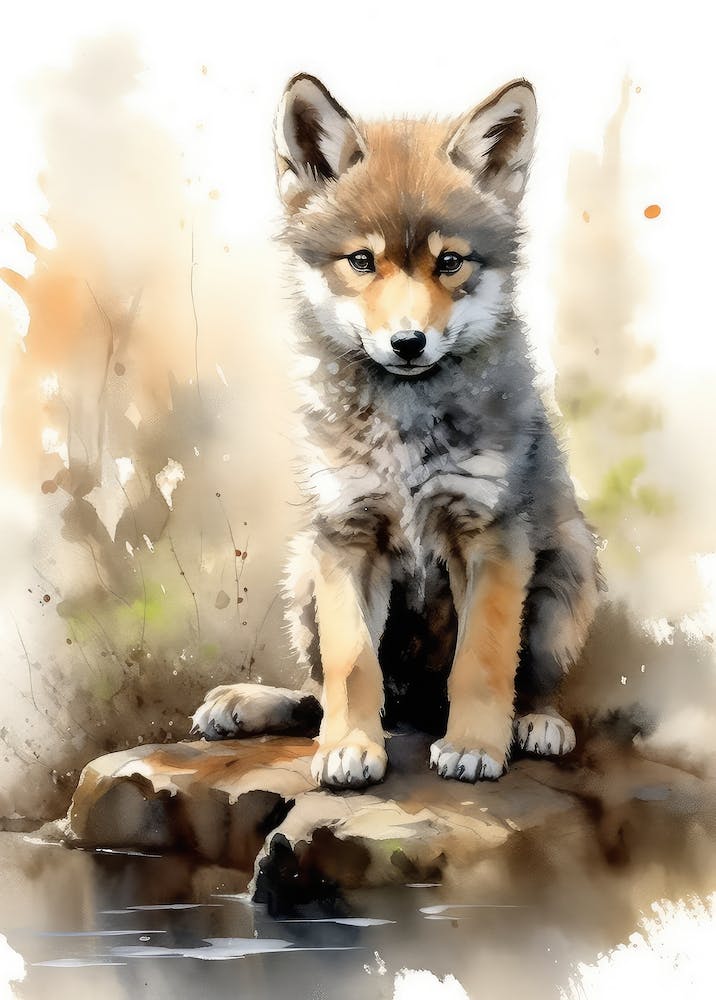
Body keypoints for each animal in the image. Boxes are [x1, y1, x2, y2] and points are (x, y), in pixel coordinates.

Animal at [192, 74, 601, 788]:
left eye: (450, 262)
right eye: (362, 260)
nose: (409, 343)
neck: (405, 429)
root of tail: (417, 707)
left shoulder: (491, 538)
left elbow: (484, 662)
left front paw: (474, 745)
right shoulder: (346, 537)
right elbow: (352, 666)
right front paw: (351, 747)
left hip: (570, 573)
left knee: (533, 680)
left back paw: (536, 723)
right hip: (302, 573)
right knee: (316, 691)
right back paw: (251, 704)